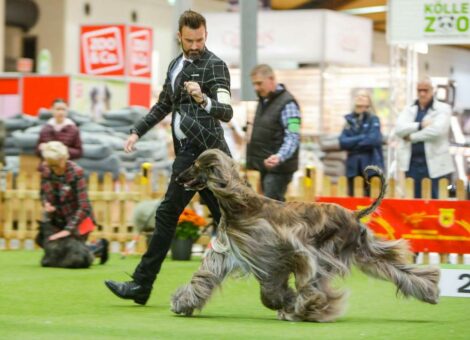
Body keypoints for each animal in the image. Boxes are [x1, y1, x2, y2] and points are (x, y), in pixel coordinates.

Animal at [172, 150, 440, 322]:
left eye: (195, 164)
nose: (178, 177)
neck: (241, 206)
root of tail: (354, 214)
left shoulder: (286, 252)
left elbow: (274, 290)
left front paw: (293, 305)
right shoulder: (227, 252)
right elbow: (205, 276)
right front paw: (183, 302)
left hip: (329, 252)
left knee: (314, 284)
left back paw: (308, 309)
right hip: (365, 253)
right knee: (401, 271)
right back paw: (430, 290)